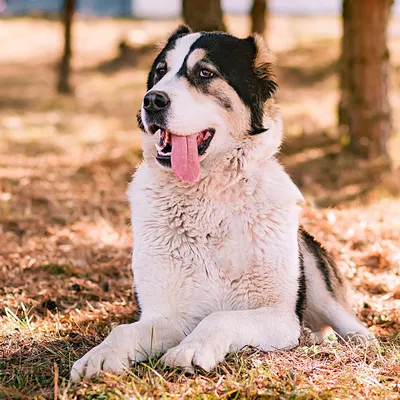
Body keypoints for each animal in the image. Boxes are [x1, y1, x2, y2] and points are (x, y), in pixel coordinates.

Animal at [70, 25, 374, 382]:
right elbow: (124, 331)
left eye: (205, 73)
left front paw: (192, 349)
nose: (152, 100)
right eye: (160, 72)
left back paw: (361, 341)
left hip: (313, 273)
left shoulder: (280, 315)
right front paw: (101, 356)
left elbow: (220, 317)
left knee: (343, 318)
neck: (208, 198)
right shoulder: (169, 314)